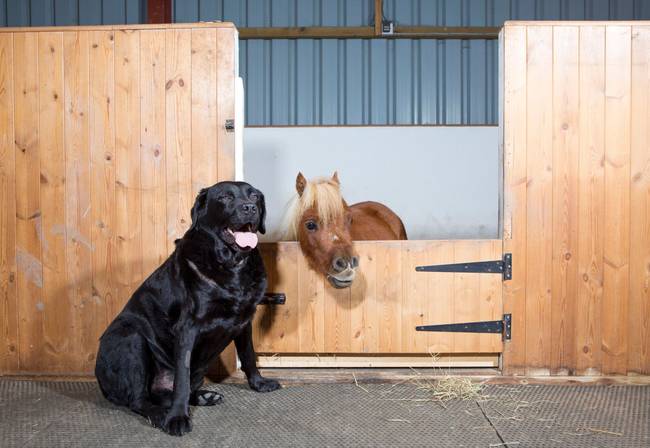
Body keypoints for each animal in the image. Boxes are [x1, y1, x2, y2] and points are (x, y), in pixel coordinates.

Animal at [95, 181, 278, 434]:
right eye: (225, 197)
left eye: (254, 196)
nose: (250, 208)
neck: (232, 265)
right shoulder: (187, 328)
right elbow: (182, 377)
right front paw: (178, 418)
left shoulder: (244, 320)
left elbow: (249, 355)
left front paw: (258, 383)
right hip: (130, 338)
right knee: (140, 399)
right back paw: (162, 414)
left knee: (166, 394)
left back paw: (203, 396)